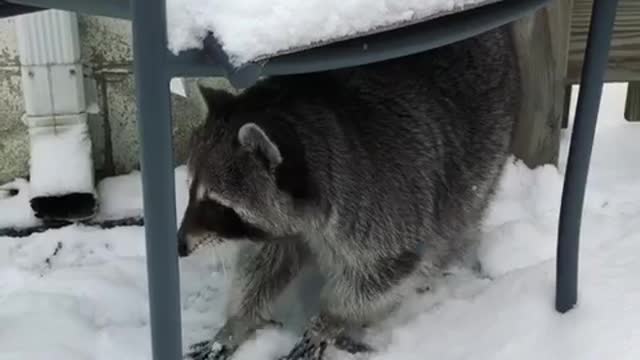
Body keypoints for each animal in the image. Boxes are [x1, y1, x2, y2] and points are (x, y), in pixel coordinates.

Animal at [176, 25, 520, 360]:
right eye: (191, 189)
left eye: (217, 203)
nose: (180, 246)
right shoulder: (281, 226)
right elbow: (261, 265)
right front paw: (236, 323)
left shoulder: (384, 208)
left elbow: (380, 276)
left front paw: (330, 320)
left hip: (484, 149)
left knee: (457, 220)